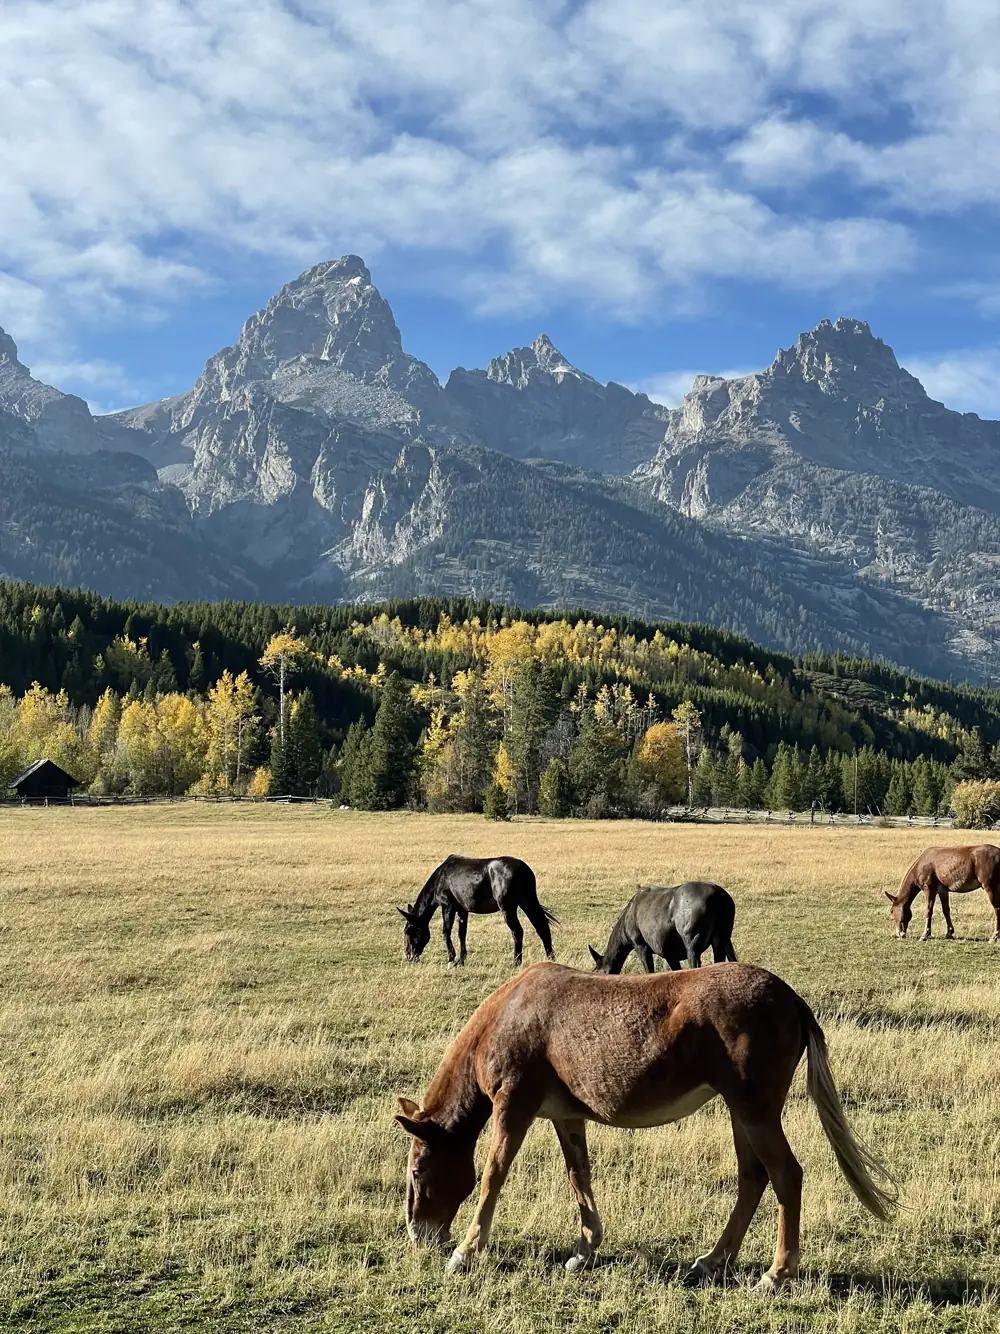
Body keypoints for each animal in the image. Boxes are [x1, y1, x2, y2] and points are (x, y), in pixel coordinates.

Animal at [395, 961, 896, 1295]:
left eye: (418, 1171)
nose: (419, 1235)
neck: (510, 1016)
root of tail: (789, 997)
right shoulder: (566, 1116)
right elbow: (579, 1176)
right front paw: (585, 1249)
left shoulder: (513, 1107)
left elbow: (493, 1176)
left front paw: (466, 1251)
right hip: (740, 1111)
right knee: (752, 1178)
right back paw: (713, 1262)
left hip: (755, 1110)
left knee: (786, 1176)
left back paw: (777, 1273)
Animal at [397, 855, 557, 967]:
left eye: (408, 931)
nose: (408, 956)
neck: (441, 877)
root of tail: (524, 869)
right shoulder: (462, 910)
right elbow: (462, 933)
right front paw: (461, 960)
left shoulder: (448, 906)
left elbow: (446, 931)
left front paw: (451, 958)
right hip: (528, 902)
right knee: (542, 928)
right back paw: (551, 958)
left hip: (508, 908)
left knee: (517, 931)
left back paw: (516, 963)